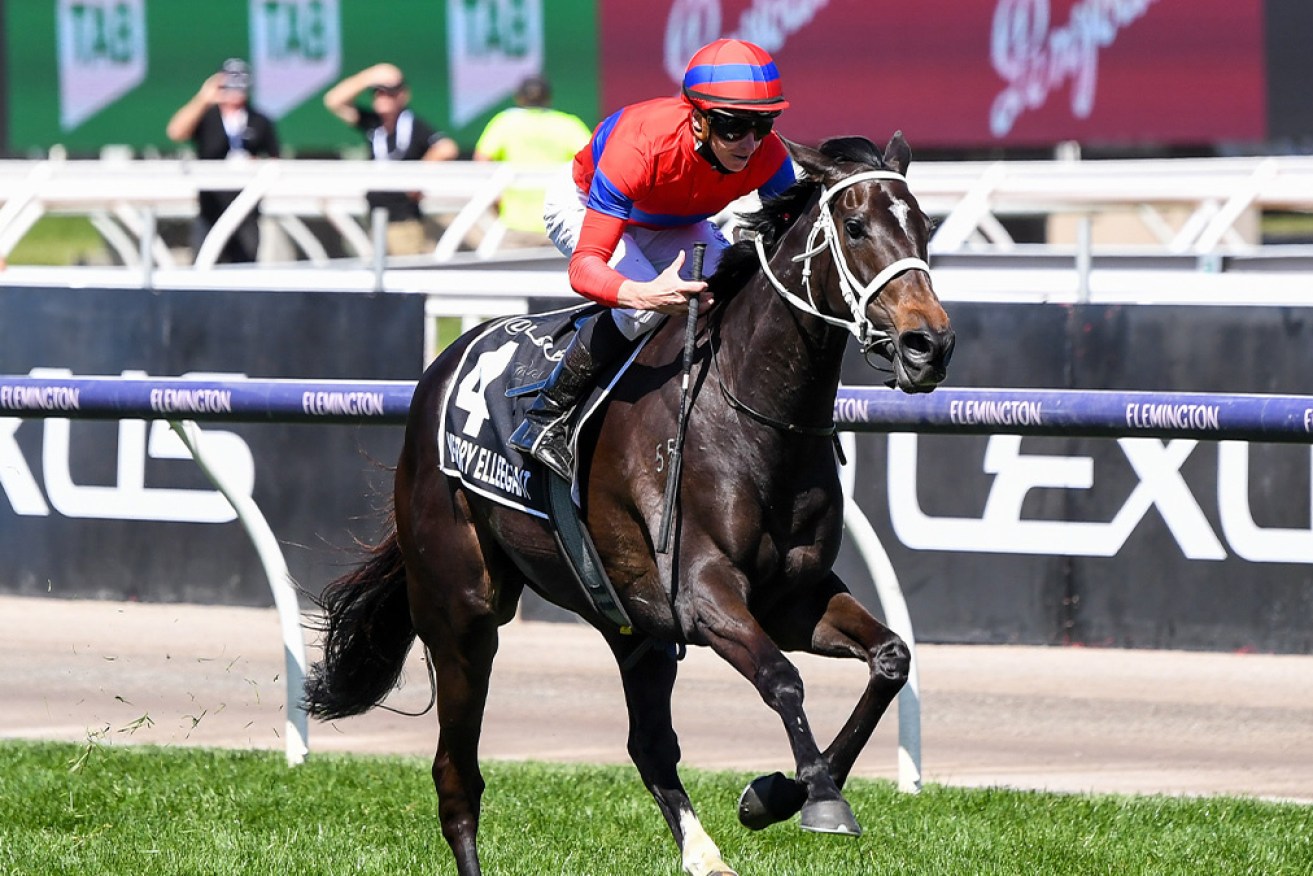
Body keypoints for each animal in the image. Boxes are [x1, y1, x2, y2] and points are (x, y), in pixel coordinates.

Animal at [307, 133, 955, 876]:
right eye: (853, 226)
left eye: (923, 226)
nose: (928, 344)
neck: (747, 412)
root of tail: (443, 366)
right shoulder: (703, 596)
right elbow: (782, 678)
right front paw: (816, 799)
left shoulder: (791, 599)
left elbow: (890, 659)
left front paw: (773, 796)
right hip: (461, 610)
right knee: (456, 774)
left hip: (629, 623)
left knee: (648, 746)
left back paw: (705, 856)